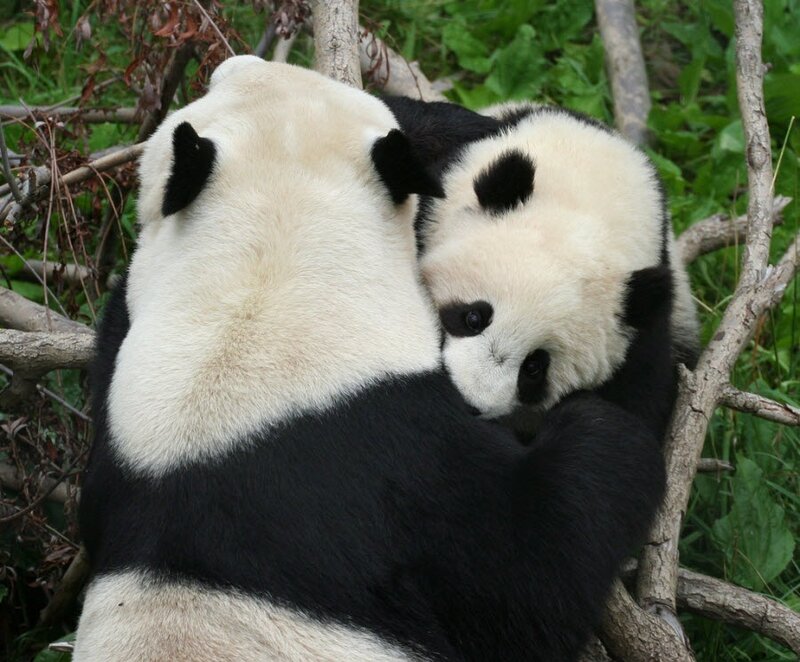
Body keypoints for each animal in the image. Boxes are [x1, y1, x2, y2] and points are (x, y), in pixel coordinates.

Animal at [76, 56, 666, 661]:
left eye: (217, 82)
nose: (242, 61)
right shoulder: (408, 472)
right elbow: (530, 579)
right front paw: (607, 432)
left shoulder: (118, 441)